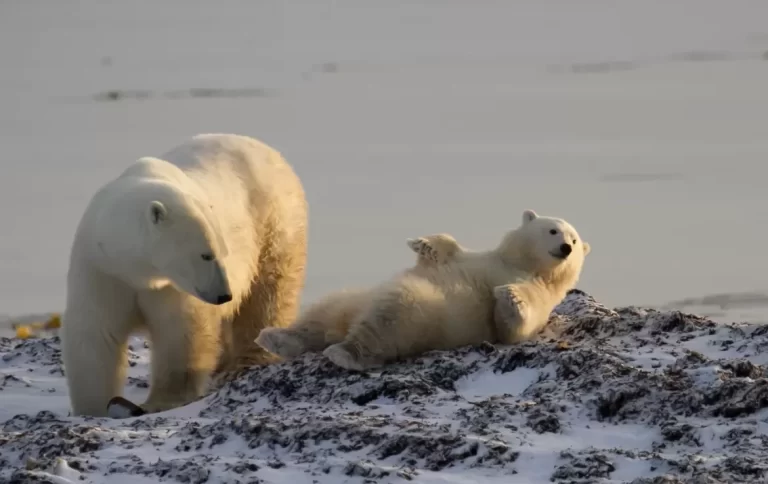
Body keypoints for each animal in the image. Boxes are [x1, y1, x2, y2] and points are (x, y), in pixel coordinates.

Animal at [60, 133, 308, 417]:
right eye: (206, 255)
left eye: (223, 252)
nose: (224, 295)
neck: (136, 269)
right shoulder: (103, 269)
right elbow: (95, 334)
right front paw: (93, 407)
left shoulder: (170, 286)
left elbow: (181, 333)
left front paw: (162, 401)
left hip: (274, 224)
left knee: (268, 295)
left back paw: (249, 358)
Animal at [256, 209, 589, 371]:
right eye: (553, 230)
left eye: (574, 240)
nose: (566, 248)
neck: (519, 264)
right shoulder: (478, 257)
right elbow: (447, 251)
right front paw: (422, 243)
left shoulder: (540, 295)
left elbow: (516, 325)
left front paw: (510, 296)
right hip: (356, 298)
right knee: (327, 310)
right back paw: (276, 337)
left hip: (428, 313)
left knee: (390, 318)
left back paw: (345, 353)